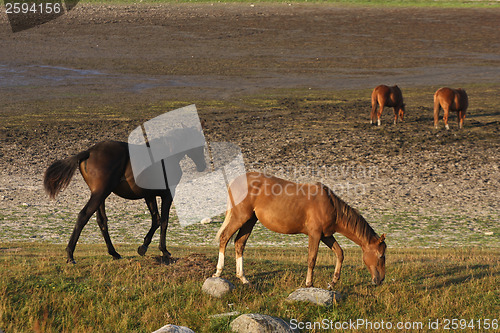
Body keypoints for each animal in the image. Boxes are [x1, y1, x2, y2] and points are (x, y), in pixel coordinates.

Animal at [43, 126, 206, 264]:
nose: (202, 166)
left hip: (100, 195)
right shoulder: (167, 195)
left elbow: (156, 220)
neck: (166, 155)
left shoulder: (149, 195)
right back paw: (70, 254)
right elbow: (164, 221)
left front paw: (143, 247)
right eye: (201, 144)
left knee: (102, 221)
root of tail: (89, 152)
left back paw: (114, 253)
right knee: (83, 216)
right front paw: (164, 251)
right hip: (100, 193)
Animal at [213, 171, 388, 286]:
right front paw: (309, 283)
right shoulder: (315, 235)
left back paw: (243, 278)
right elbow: (312, 259)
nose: (380, 280)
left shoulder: (326, 236)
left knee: (239, 243)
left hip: (250, 220)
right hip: (240, 217)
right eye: (381, 256)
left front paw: (333, 282)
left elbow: (340, 253)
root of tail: (235, 181)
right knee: (224, 238)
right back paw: (218, 272)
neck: (330, 205)